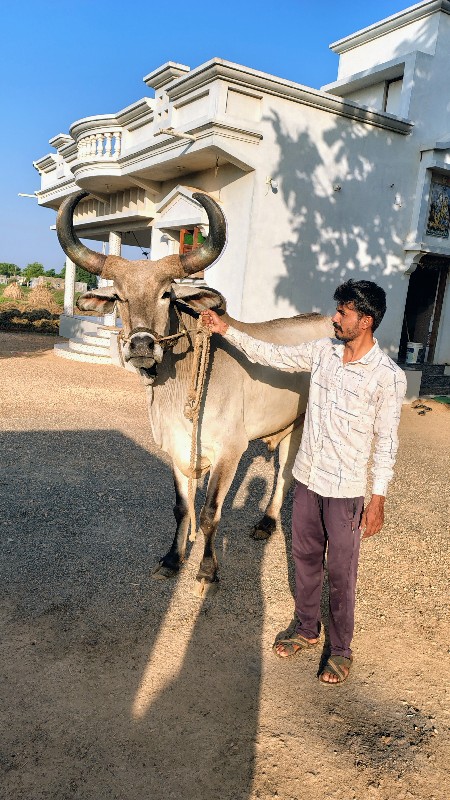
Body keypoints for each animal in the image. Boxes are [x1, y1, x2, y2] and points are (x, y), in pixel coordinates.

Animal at [56, 192, 332, 592]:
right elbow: (182, 508)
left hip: (304, 427)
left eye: (166, 294)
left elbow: (209, 513)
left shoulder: (230, 452)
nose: (141, 345)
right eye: (120, 297)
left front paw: (207, 568)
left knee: (285, 473)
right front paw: (173, 559)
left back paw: (267, 522)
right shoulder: (175, 449)